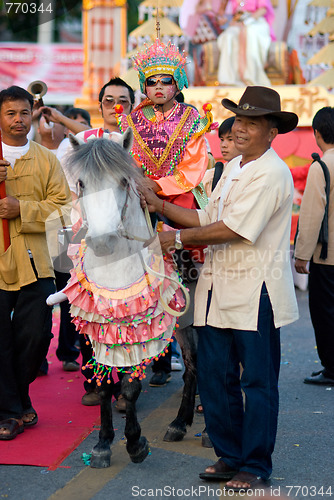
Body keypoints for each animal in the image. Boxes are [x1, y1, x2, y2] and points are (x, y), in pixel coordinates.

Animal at [48, 131, 192, 466]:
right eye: (81, 183)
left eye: (125, 181)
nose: (103, 241)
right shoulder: (97, 328)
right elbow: (104, 386)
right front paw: (103, 442)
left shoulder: (140, 330)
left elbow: (130, 387)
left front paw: (135, 442)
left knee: (195, 367)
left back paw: (182, 423)